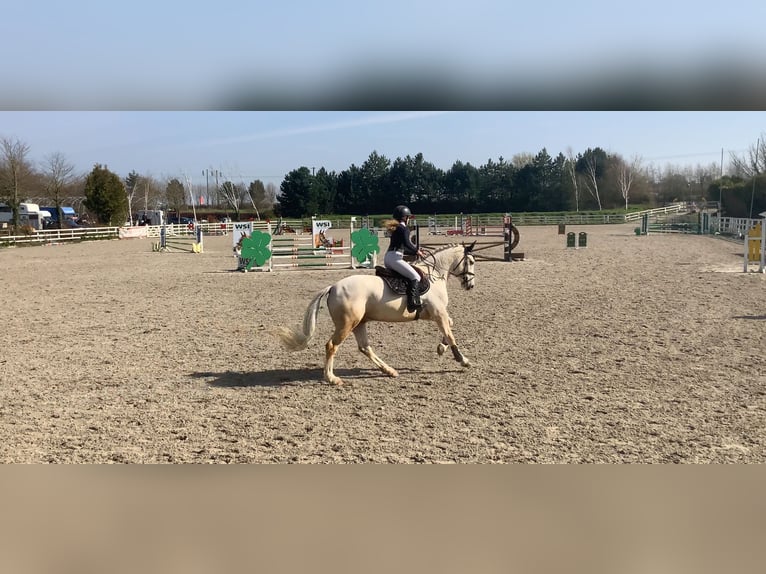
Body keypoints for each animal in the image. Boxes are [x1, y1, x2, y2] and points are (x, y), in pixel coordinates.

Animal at [272, 242, 476, 386]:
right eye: (471, 262)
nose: (470, 285)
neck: (434, 274)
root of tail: (333, 287)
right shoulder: (438, 313)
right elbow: (450, 334)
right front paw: (463, 360)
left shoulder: (437, 314)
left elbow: (450, 326)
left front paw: (441, 348)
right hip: (347, 324)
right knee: (331, 346)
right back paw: (332, 378)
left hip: (359, 323)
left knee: (364, 347)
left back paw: (389, 371)